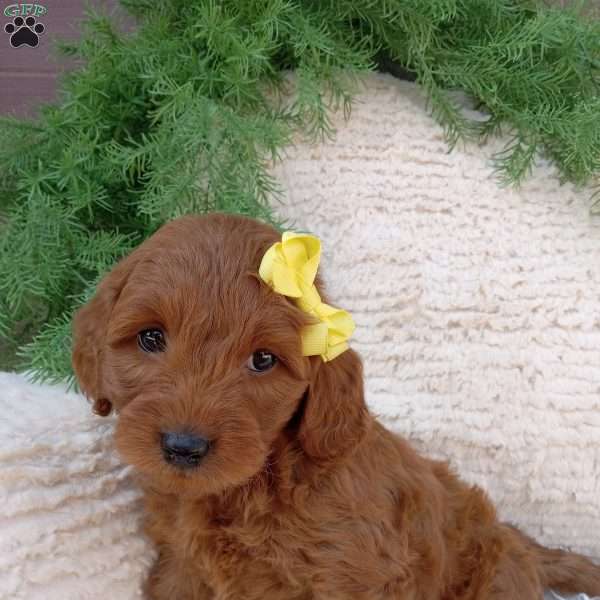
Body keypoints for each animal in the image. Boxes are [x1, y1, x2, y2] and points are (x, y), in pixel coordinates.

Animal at [71, 213, 600, 596]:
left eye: (263, 360)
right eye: (151, 338)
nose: (184, 447)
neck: (256, 484)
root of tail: (516, 538)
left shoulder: (356, 577)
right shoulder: (183, 564)